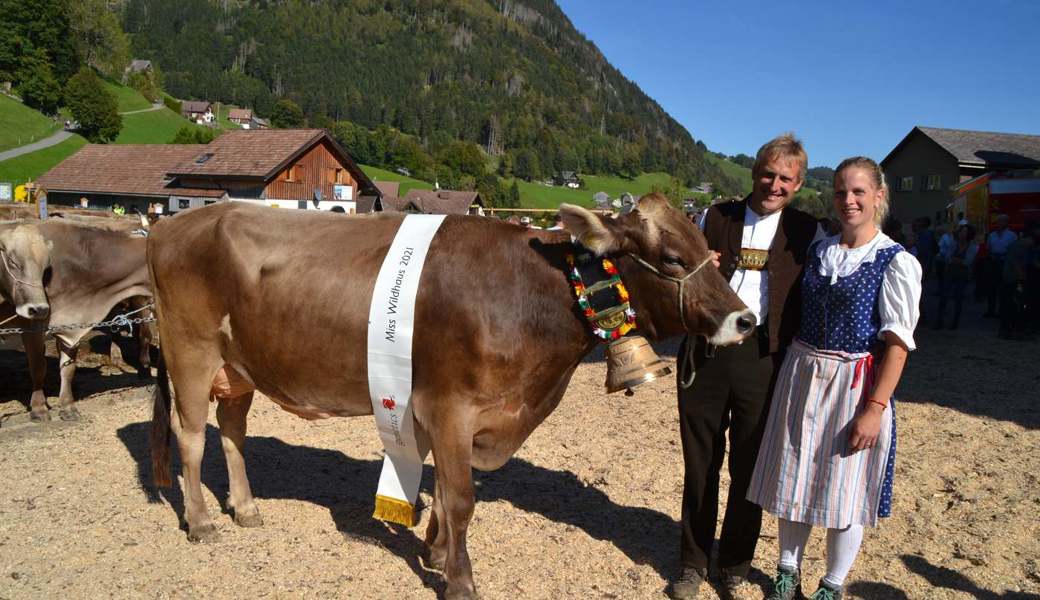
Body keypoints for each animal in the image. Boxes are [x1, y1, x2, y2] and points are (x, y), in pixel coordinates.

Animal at [0, 220, 151, 420]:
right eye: (13, 263)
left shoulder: (72, 324)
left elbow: (68, 369)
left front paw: (67, 406)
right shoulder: (30, 323)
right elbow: (39, 366)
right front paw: (39, 408)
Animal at [146, 194, 752, 594]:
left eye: (710, 250)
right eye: (672, 259)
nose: (745, 320)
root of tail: (173, 223)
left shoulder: (444, 411)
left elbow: (439, 488)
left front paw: (435, 553)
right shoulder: (450, 407)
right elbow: (460, 499)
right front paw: (460, 579)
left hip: (238, 368)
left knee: (233, 433)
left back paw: (246, 509)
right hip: (190, 352)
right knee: (191, 436)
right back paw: (201, 521)